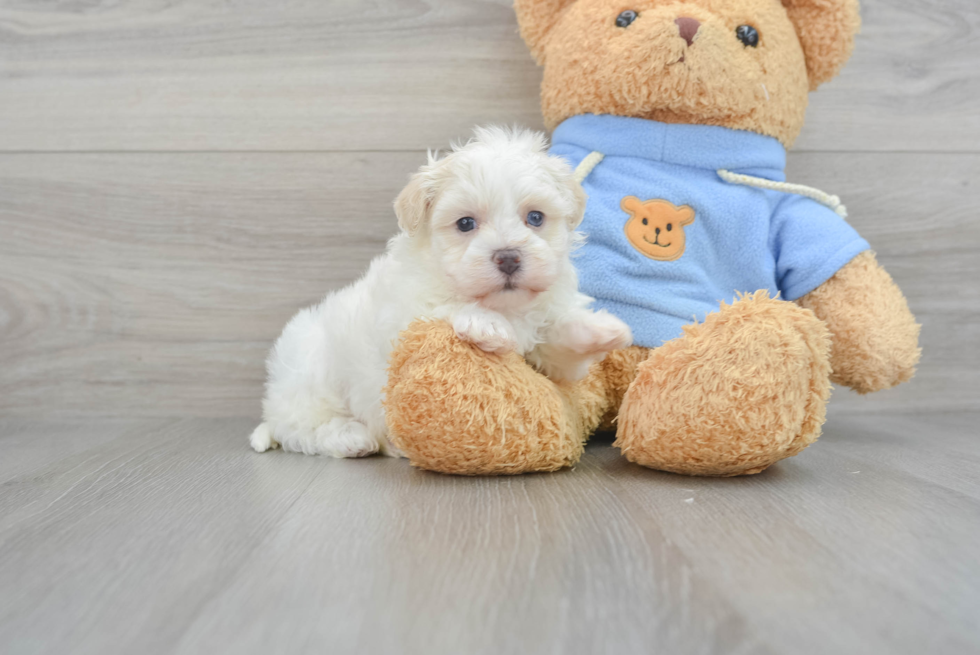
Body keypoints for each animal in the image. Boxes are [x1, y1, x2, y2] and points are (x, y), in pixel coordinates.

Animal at [249, 125, 632, 458]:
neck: (503, 305)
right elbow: (442, 308)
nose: (508, 257)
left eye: (535, 218)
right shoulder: (402, 318)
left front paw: (598, 329)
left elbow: (559, 345)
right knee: (300, 426)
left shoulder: (546, 351)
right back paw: (350, 437)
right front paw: (485, 324)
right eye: (465, 223)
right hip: (309, 371)